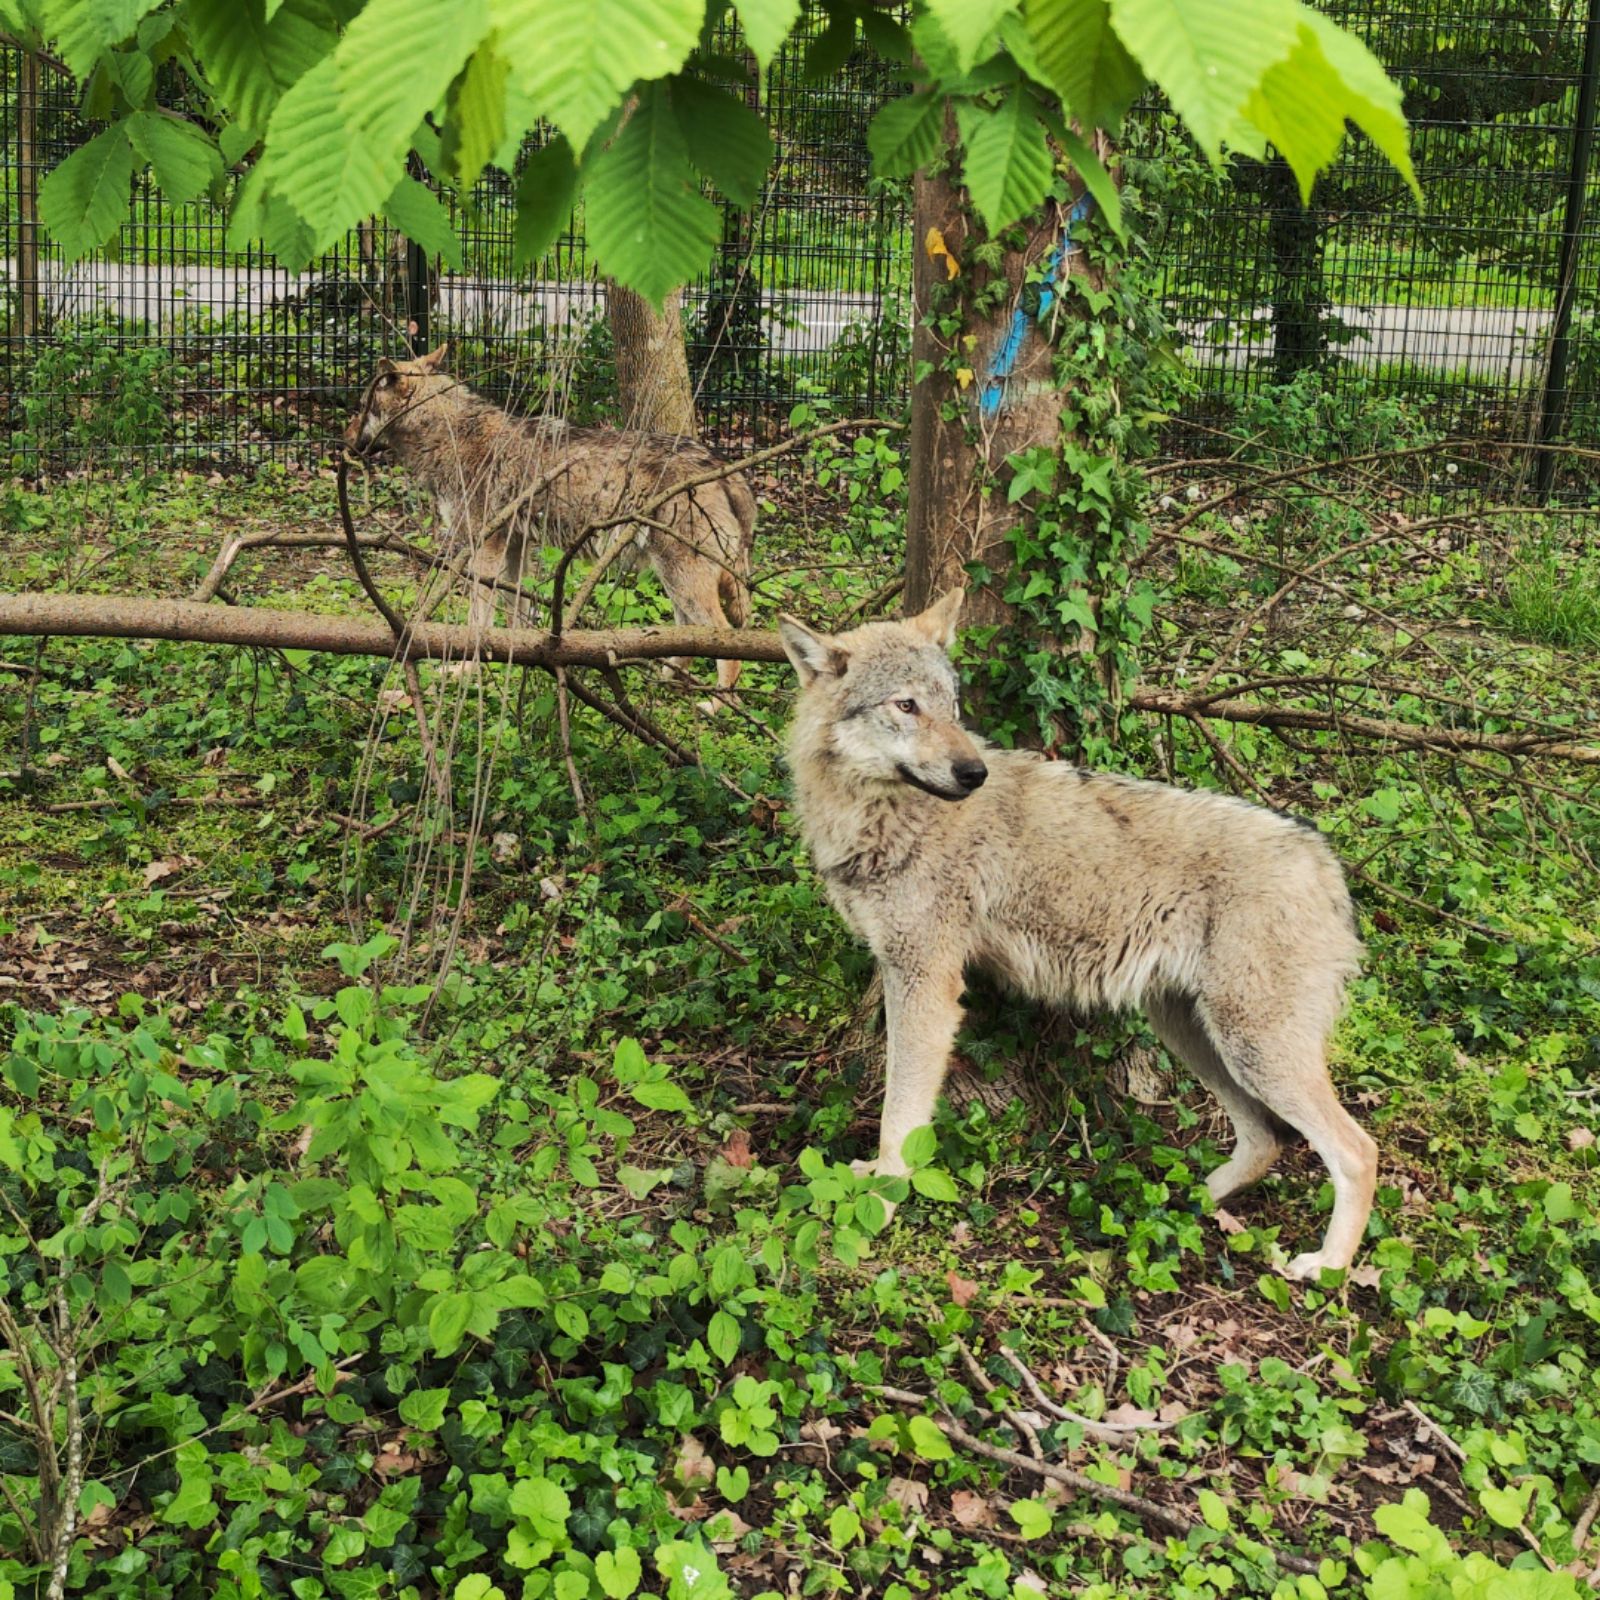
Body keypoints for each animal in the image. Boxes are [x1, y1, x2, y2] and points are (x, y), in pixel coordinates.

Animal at [344, 344, 755, 694]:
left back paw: (713, 706)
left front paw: (466, 671)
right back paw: (662, 686)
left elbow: (479, 620)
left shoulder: (486, 547)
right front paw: (522, 663)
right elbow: (517, 615)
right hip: (676, 580)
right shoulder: (515, 546)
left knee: (724, 640)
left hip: (684, 577)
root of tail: (722, 465)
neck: (449, 433)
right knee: (688, 636)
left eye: (362, 406)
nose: (344, 438)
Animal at [780, 595, 1382, 1280]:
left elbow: (899, 1116)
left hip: (1252, 1047)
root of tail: (1326, 860)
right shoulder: (899, 971)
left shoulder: (926, 984)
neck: (877, 817)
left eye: (952, 704)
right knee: (1265, 1140)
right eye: (906, 705)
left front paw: (881, 1201)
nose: (973, 772)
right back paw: (1180, 1205)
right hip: (1194, 1035)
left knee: (1357, 1152)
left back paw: (1325, 1267)